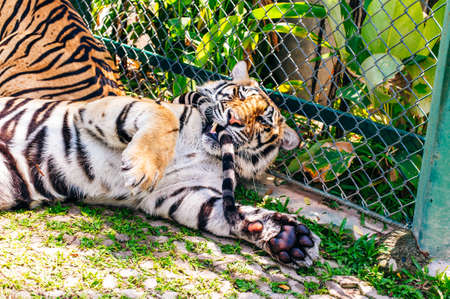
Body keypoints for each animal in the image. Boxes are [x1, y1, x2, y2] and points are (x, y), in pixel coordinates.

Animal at [0, 62, 324, 268]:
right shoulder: (108, 107)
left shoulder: (182, 193)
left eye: (262, 121)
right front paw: (141, 168)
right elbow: (165, 120)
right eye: (235, 95)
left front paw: (289, 239)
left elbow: (233, 213)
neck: (204, 149)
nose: (233, 119)